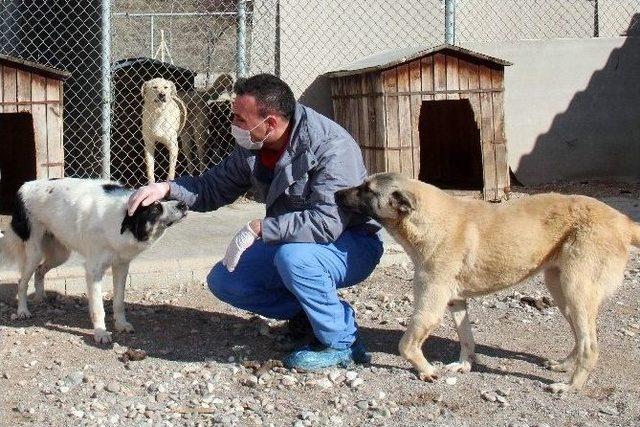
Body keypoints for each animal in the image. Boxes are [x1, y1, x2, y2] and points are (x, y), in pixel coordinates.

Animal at [336, 173, 640, 394]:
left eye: (366, 189)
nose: (336, 194)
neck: (427, 221)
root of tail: (623, 220)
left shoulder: (430, 304)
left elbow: (406, 344)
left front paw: (426, 370)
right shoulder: (455, 301)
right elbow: (466, 338)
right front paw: (463, 365)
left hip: (575, 290)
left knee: (590, 345)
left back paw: (570, 386)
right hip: (561, 290)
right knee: (580, 336)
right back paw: (563, 364)